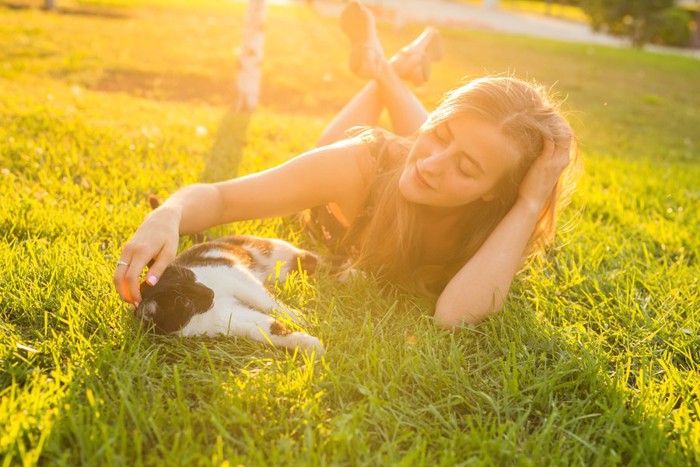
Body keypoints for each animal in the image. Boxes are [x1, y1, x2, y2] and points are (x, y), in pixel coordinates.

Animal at [136, 236, 328, 356]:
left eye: (191, 277)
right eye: (185, 302)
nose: (210, 293)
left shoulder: (236, 276)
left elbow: (266, 302)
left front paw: (298, 318)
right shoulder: (232, 319)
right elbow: (268, 329)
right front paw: (308, 345)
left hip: (276, 254)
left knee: (311, 259)